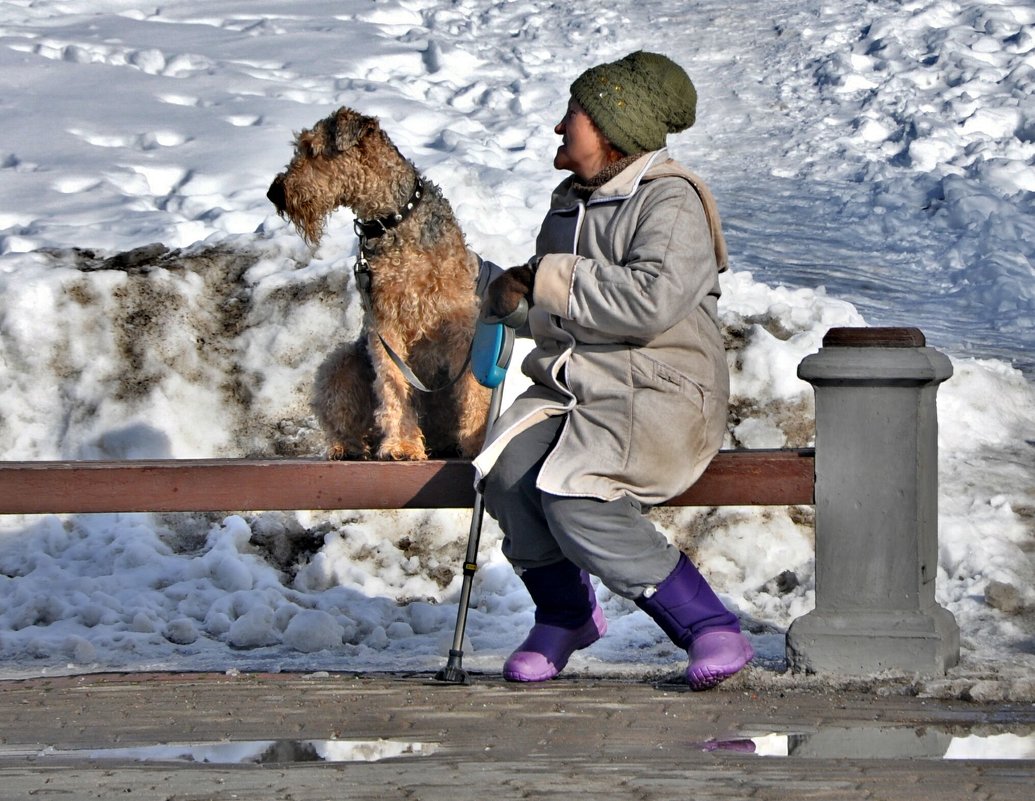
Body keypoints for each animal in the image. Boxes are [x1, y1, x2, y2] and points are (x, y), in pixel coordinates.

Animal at [267, 105, 492, 463]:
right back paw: (347, 447)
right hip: (341, 364)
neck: (394, 221)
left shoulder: (460, 322)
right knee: (346, 420)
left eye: (310, 149)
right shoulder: (385, 324)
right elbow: (392, 383)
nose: (274, 192)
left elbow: (472, 388)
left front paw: (477, 441)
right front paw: (402, 445)